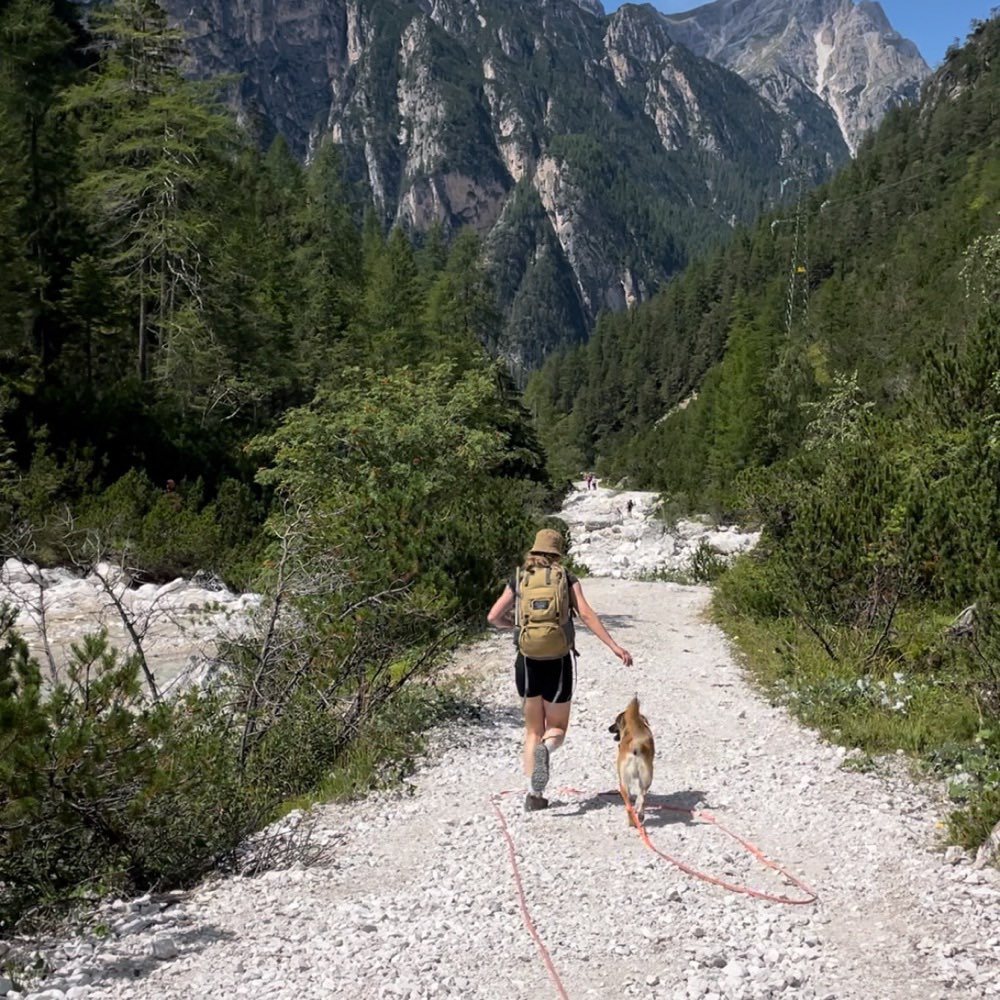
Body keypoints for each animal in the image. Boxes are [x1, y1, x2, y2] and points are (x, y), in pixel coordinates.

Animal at [608, 696, 656, 828]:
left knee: (630, 803)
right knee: (641, 798)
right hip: (645, 779)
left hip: (623, 782)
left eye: (616, 722)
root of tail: (636, 745)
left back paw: (632, 821)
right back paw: (639, 816)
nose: (609, 728)